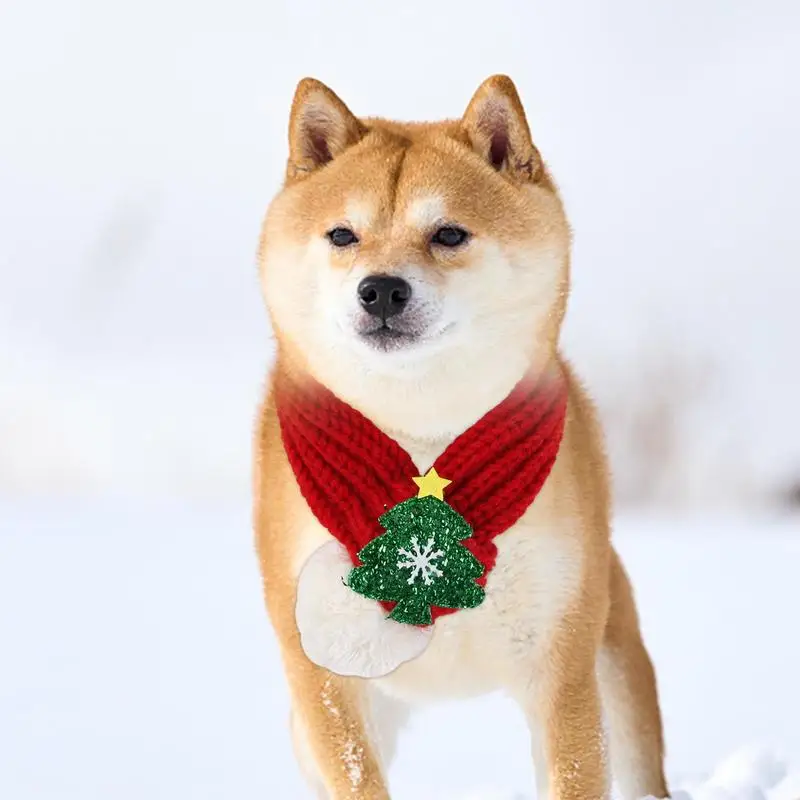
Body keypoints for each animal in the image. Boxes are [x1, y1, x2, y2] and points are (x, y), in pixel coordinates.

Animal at [255, 76, 668, 800]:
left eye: (448, 234)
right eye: (342, 234)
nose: (381, 290)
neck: (424, 431)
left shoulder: (562, 661)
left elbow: (573, 769)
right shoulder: (324, 675)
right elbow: (354, 773)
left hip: (618, 667)